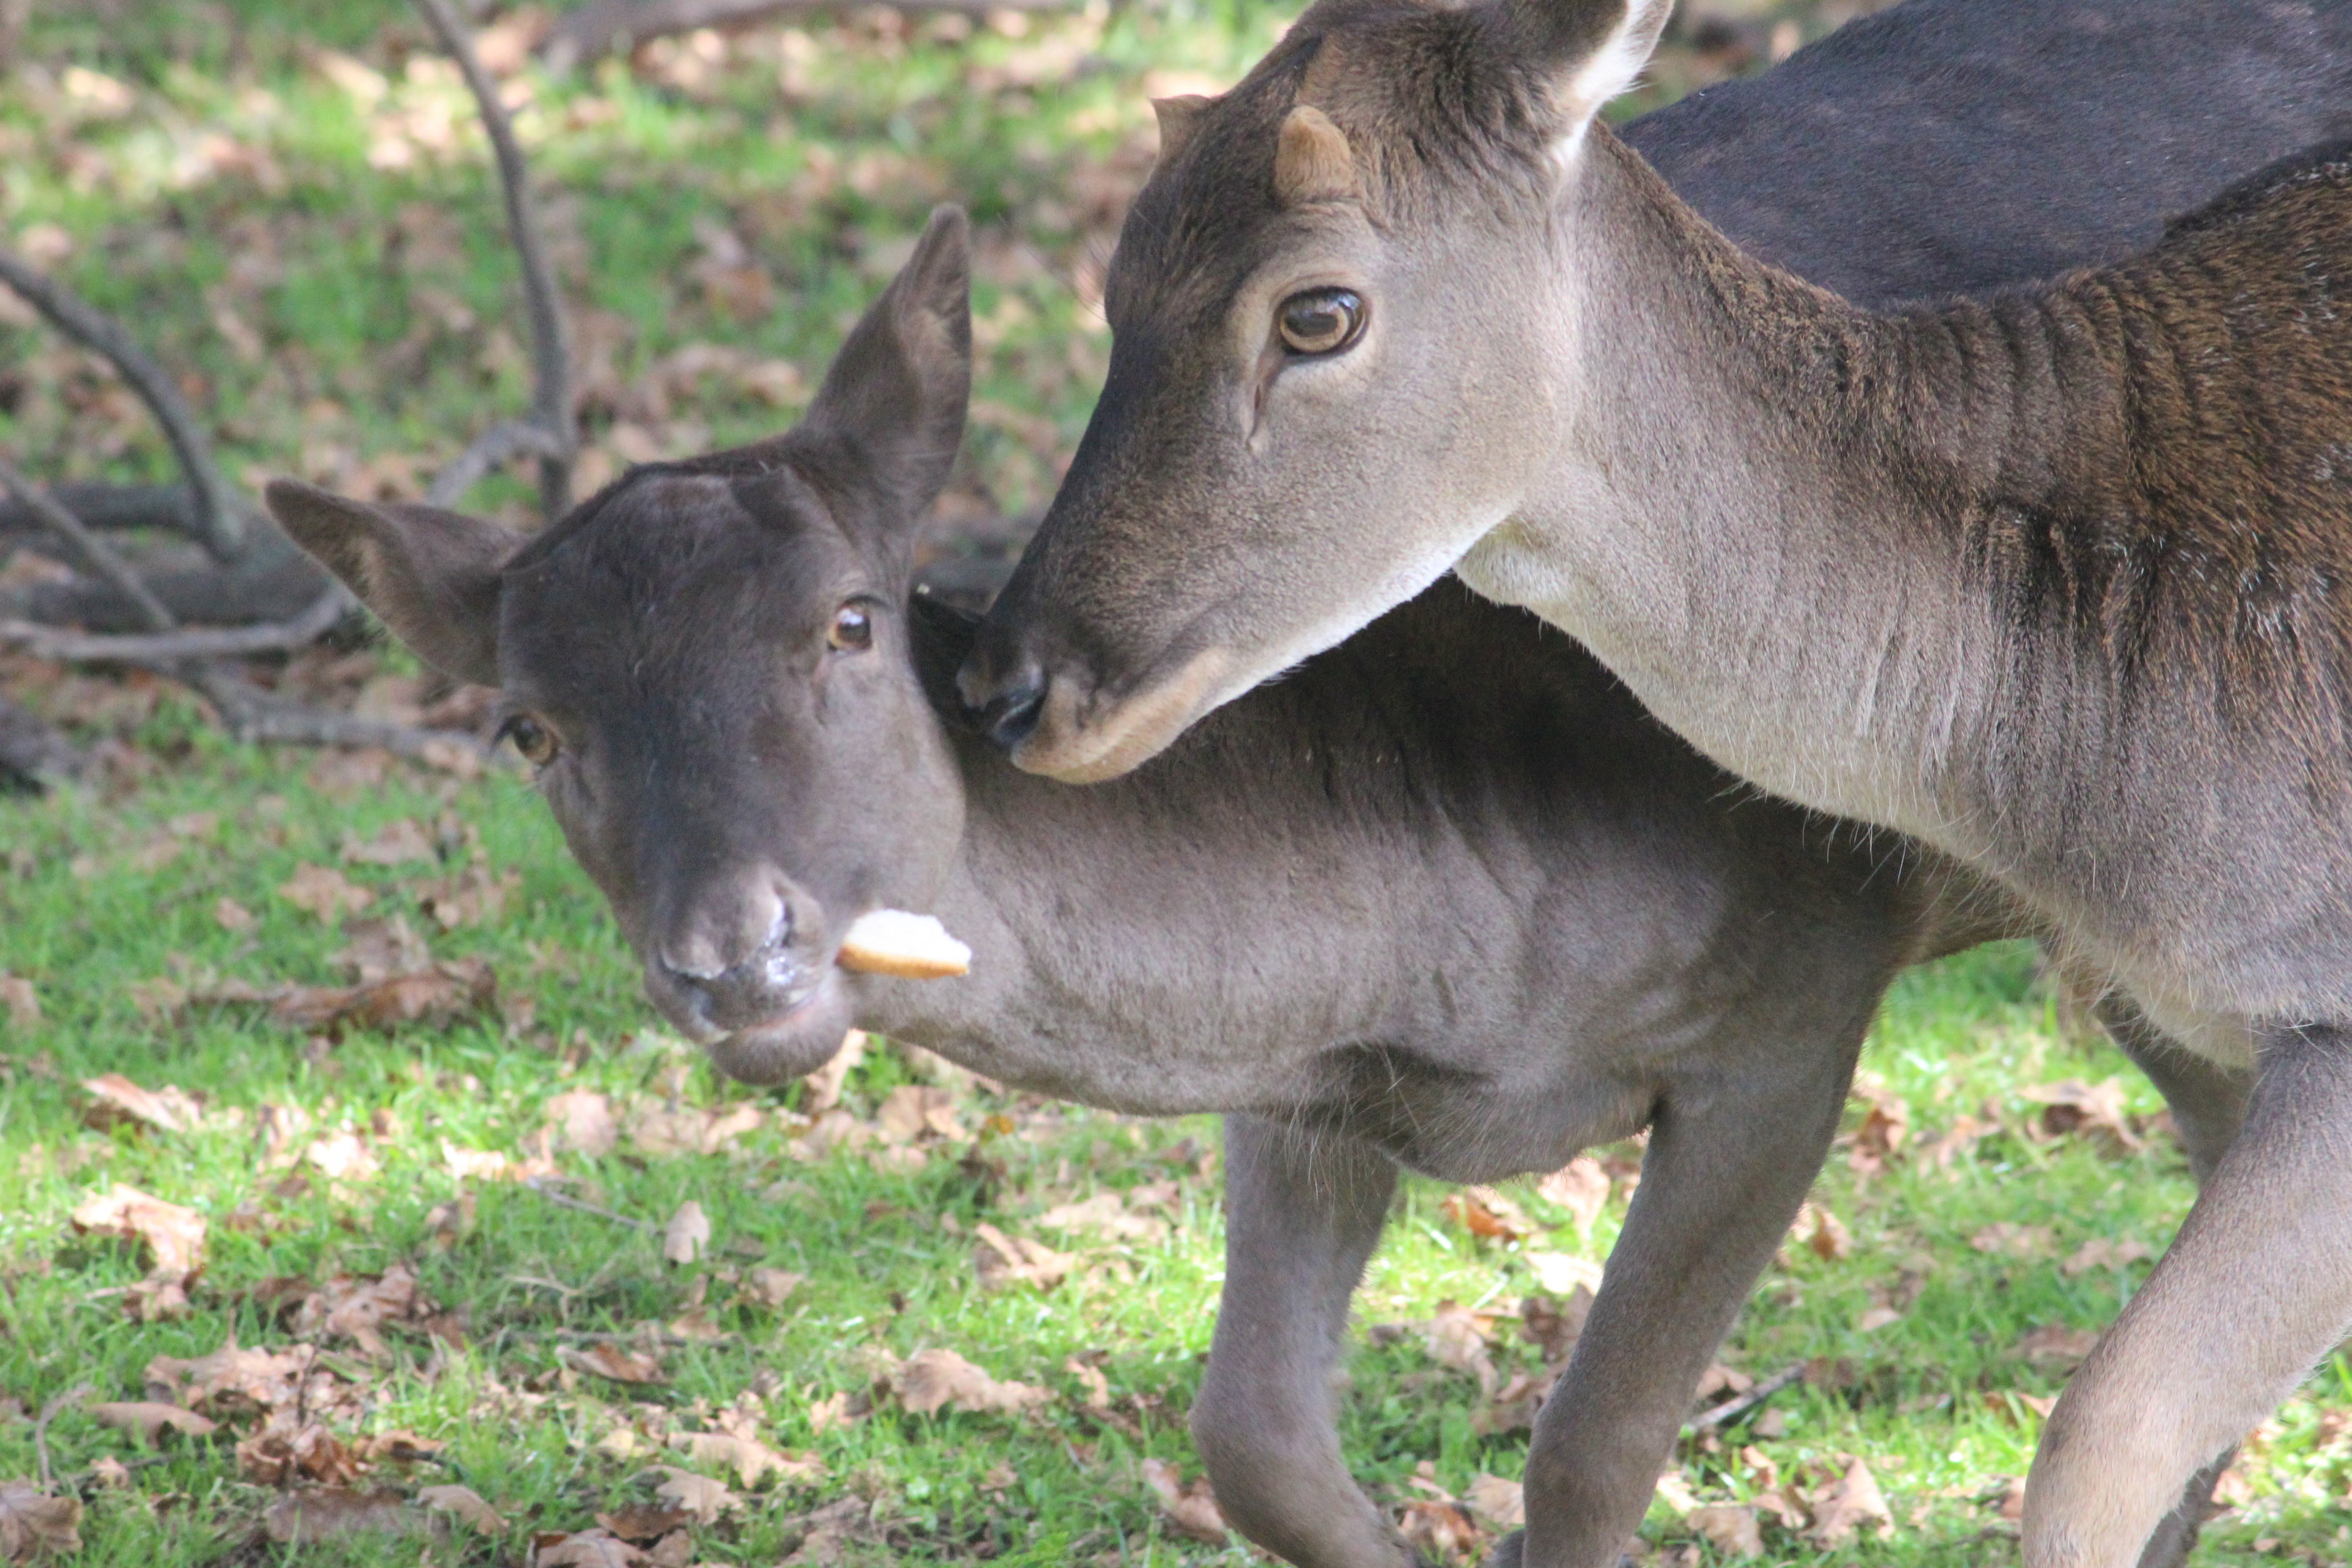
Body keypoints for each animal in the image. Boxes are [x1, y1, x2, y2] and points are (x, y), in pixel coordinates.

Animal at [951, 0, 2352, 1562]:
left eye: (1318, 313)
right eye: (1117, 287)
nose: (1016, 685)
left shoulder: (1794, 1012)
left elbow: (1619, 1448)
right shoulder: (1308, 1074)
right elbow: (1253, 1433)